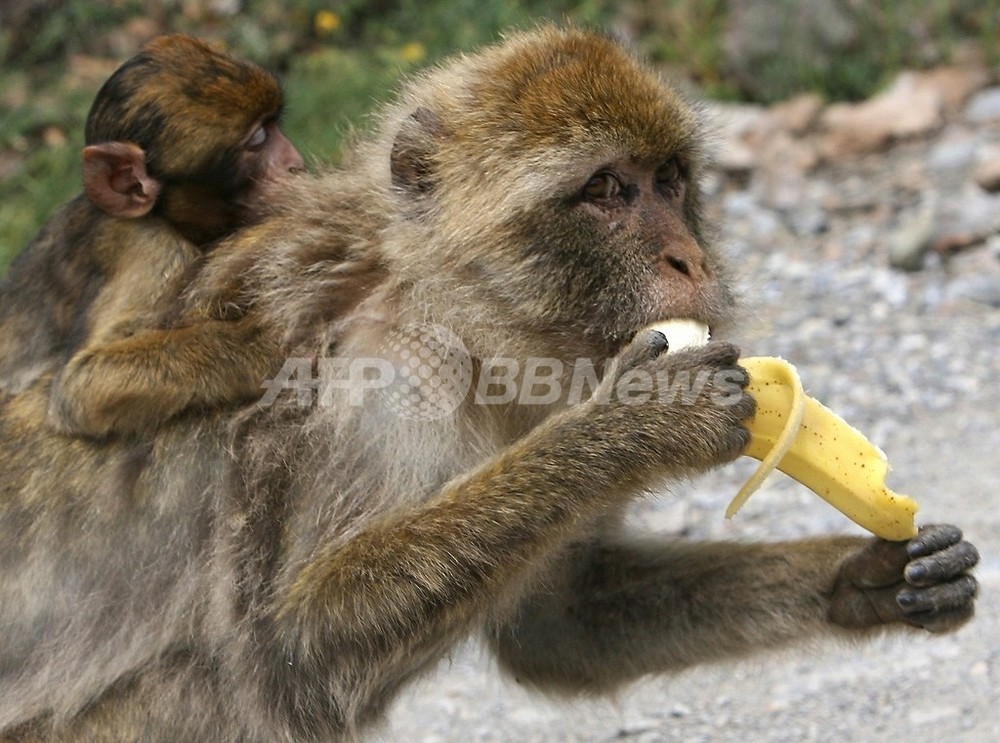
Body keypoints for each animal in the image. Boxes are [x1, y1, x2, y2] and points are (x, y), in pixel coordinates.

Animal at [0, 33, 304, 436]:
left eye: (274, 125)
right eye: (257, 139)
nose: (295, 164)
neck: (163, 215)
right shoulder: (150, 248)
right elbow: (82, 389)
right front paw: (267, 346)